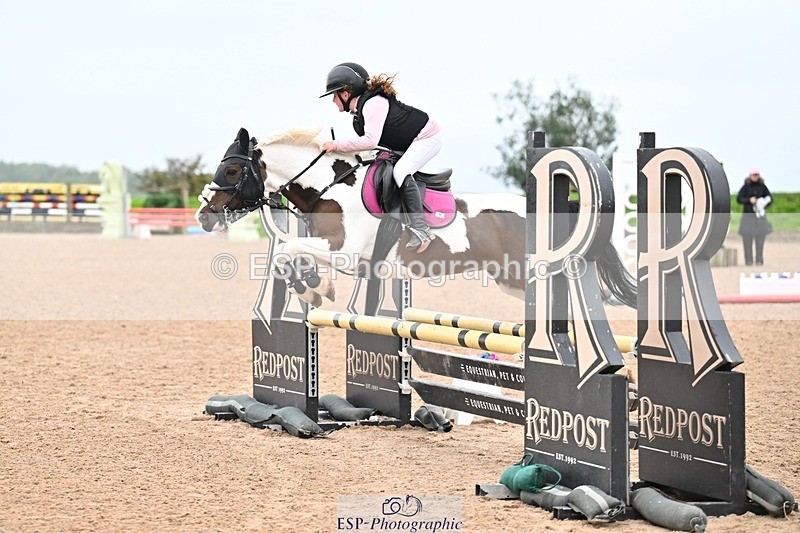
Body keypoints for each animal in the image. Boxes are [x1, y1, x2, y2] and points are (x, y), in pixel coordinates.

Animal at [196, 127, 636, 309]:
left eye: (231, 170)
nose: (203, 215)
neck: (331, 188)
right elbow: (288, 254)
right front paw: (314, 289)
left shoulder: (345, 253)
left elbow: (288, 250)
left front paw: (317, 290)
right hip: (511, 280)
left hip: (528, 277)